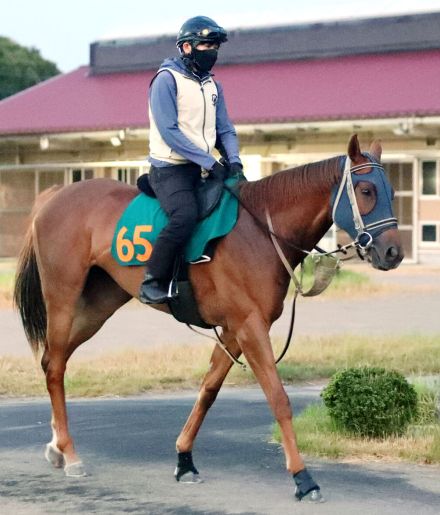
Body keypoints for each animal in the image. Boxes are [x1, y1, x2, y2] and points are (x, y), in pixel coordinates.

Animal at [15, 136, 402, 504]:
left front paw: (184, 460)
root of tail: (54, 195)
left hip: (98, 305)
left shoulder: (233, 330)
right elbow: (278, 398)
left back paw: (57, 447)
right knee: (55, 368)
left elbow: (208, 390)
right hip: (63, 298)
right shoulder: (249, 326)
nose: (393, 252)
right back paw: (71, 454)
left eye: (391, 191)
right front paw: (303, 479)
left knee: (52, 359)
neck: (260, 231)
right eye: (366, 191)